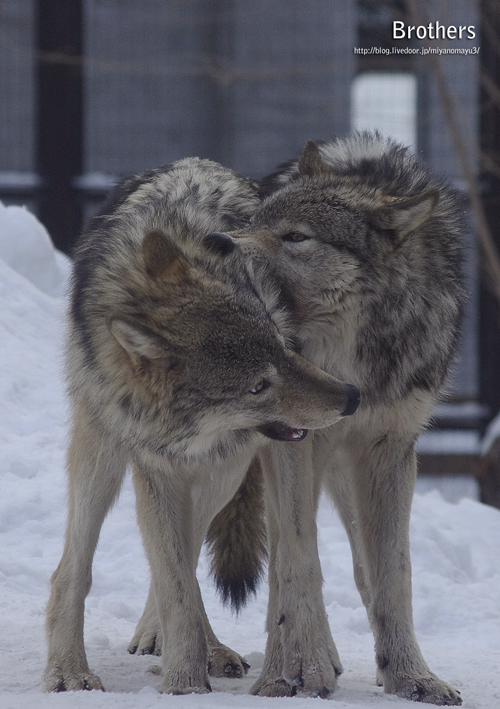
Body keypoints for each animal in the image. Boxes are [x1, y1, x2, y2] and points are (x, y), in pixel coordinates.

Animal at [42, 158, 356, 696]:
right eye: (257, 386)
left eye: (281, 346)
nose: (350, 398)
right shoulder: (156, 467)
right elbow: (174, 582)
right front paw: (185, 686)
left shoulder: (280, 452)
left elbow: (297, 554)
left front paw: (308, 667)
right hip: (101, 454)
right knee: (75, 569)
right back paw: (71, 669)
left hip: (223, 474)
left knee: (193, 553)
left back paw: (208, 648)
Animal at [204, 133, 464, 704]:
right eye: (256, 221)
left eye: (296, 237)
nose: (216, 240)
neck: (351, 359)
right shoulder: (294, 444)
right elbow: (299, 558)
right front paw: (296, 671)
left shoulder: (391, 450)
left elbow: (392, 576)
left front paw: (412, 677)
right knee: (279, 557)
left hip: (347, 474)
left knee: (360, 571)